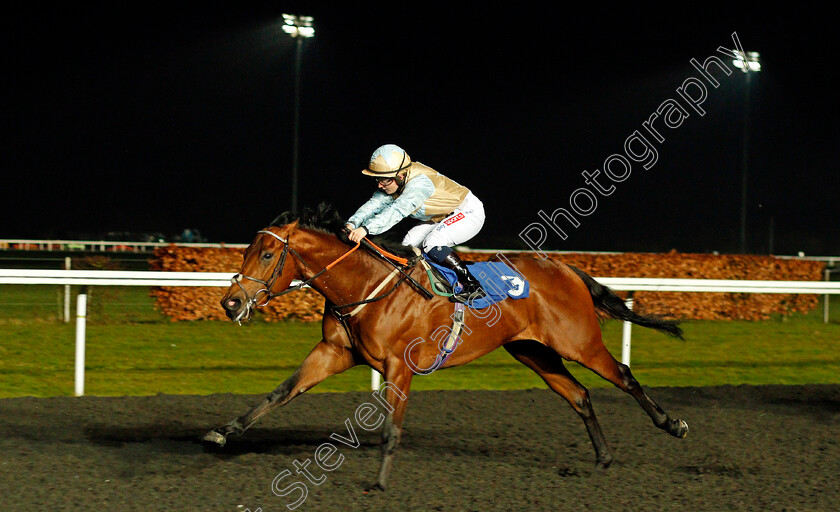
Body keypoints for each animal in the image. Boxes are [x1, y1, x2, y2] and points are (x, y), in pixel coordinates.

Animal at [205, 203, 688, 488]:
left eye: (268, 255)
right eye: (247, 251)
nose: (231, 302)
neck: (365, 286)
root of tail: (567, 269)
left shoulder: (399, 366)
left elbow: (392, 428)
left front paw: (379, 482)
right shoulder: (334, 352)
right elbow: (280, 392)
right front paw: (225, 431)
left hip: (578, 342)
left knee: (622, 375)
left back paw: (673, 424)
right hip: (533, 351)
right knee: (580, 394)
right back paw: (603, 458)